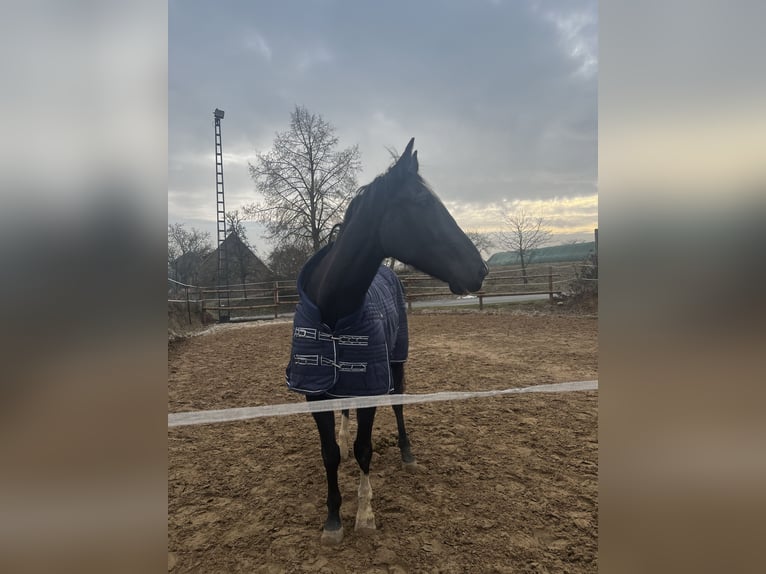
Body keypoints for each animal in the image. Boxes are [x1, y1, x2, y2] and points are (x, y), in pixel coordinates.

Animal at [285, 138, 488, 544]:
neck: (334, 308)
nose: (481, 269)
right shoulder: (315, 391)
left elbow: (365, 449)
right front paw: (333, 520)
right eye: (422, 201)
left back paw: (407, 452)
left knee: (398, 403)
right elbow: (330, 452)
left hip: (396, 361)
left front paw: (364, 514)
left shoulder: (371, 383)